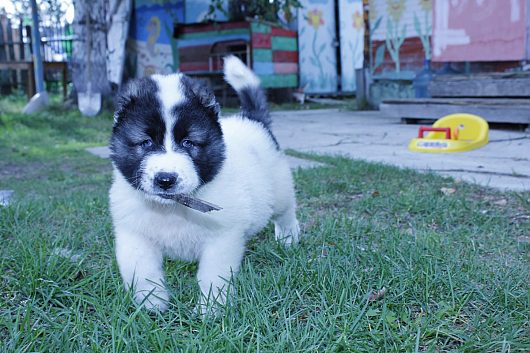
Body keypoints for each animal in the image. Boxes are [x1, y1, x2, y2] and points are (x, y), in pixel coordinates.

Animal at [108, 55, 296, 310]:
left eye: (188, 142)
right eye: (146, 142)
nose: (165, 179)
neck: (173, 209)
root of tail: (252, 120)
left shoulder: (222, 237)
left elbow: (213, 275)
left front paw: (211, 309)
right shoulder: (134, 234)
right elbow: (142, 271)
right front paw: (152, 305)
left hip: (279, 188)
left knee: (286, 212)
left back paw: (288, 240)